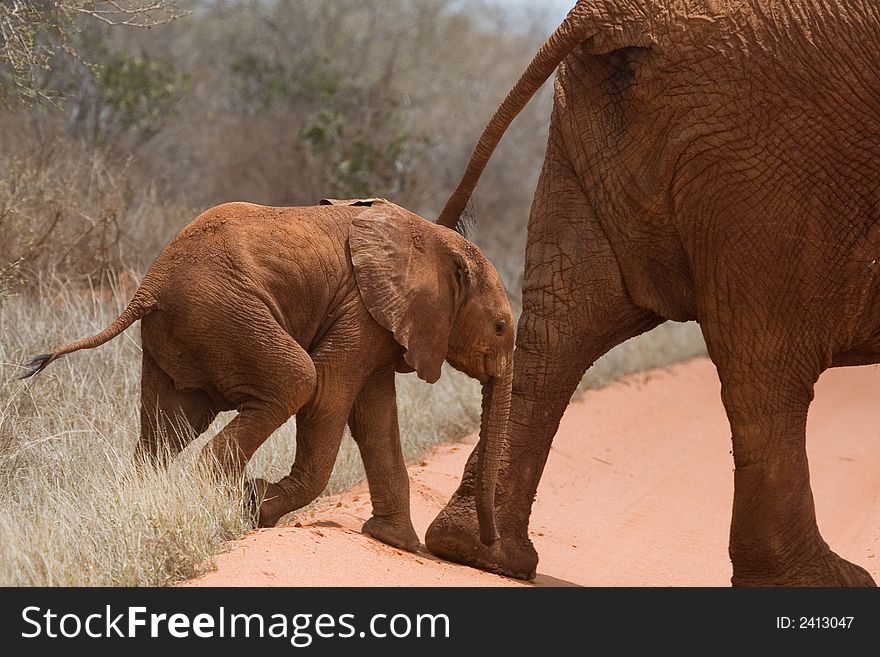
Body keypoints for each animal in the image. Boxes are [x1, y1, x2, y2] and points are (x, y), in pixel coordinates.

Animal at [25, 197, 516, 552]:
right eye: (500, 327)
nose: (489, 546)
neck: (435, 240)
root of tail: (150, 285)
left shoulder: (383, 323)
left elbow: (376, 420)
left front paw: (397, 543)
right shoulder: (363, 310)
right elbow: (329, 394)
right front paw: (255, 506)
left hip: (184, 331)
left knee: (169, 424)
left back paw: (146, 499)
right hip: (226, 313)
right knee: (297, 379)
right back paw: (219, 502)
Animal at [422, 0, 876, 584]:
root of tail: (614, 13)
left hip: (601, 128)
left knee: (564, 321)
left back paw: (479, 552)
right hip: (778, 151)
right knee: (769, 366)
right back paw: (822, 580)